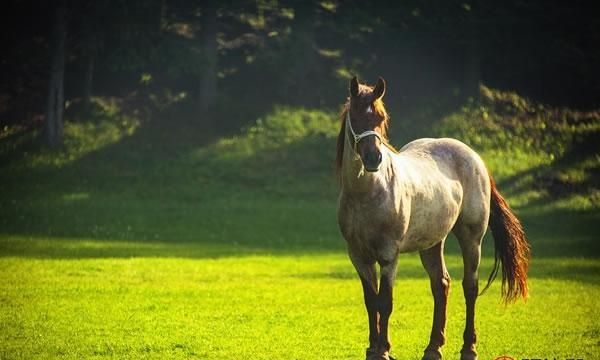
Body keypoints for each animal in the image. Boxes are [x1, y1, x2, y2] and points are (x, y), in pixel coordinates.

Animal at [338, 76, 528, 360]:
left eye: (381, 118)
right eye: (356, 115)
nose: (374, 158)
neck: (367, 194)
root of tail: (475, 158)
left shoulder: (388, 256)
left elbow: (386, 302)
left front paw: (383, 350)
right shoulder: (358, 256)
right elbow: (371, 302)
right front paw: (373, 349)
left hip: (471, 237)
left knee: (470, 286)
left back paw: (468, 348)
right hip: (431, 244)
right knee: (441, 285)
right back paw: (433, 348)